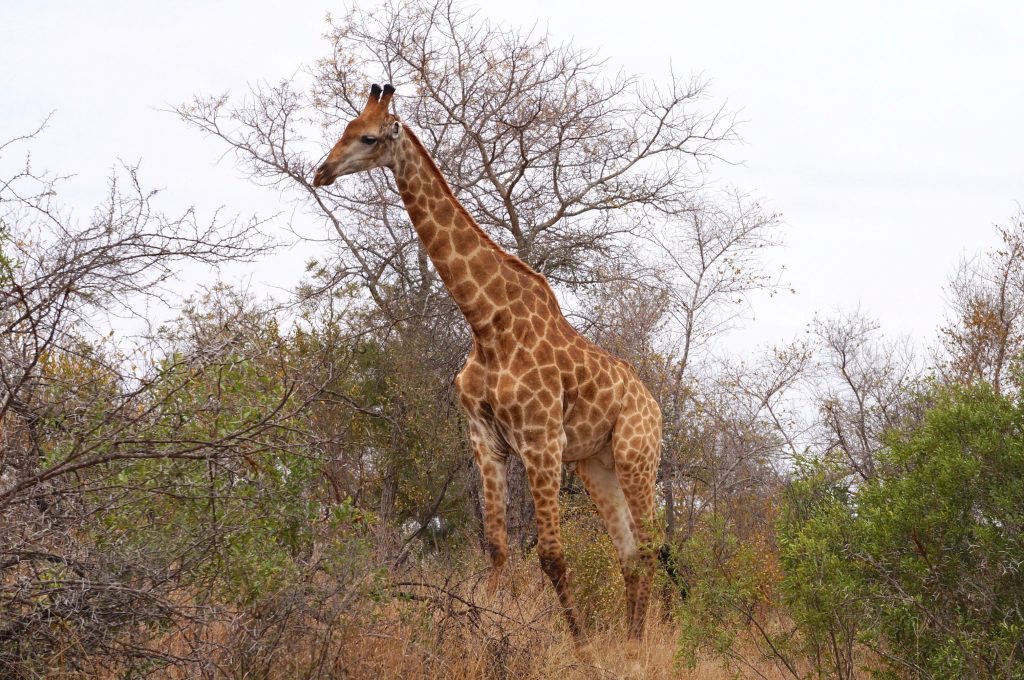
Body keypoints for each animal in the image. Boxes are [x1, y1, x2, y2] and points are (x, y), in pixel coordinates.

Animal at [313, 82, 663, 639]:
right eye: (344, 128)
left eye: (368, 137)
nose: (320, 172)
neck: (486, 322)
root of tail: (655, 405)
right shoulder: (486, 440)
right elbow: (498, 550)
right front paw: (479, 635)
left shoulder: (541, 440)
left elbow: (551, 556)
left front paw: (581, 645)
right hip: (596, 464)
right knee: (629, 555)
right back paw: (628, 645)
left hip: (636, 453)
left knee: (648, 549)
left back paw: (636, 645)